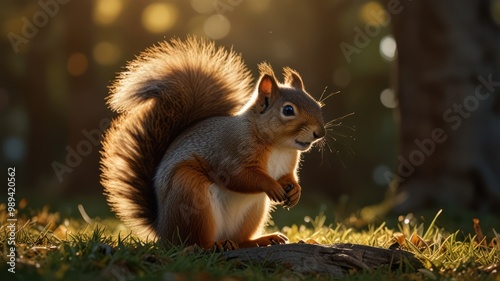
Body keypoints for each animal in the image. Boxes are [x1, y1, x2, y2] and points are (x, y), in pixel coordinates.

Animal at [100, 37, 326, 249]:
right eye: (288, 110)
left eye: (317, 104)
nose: (320, 133)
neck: (278, 146)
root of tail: (162, 229)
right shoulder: (230, 154)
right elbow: (240, 177)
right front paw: (272, 185)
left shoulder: (287, 165)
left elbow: (288, 177)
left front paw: (295, 190)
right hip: (190, 192)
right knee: (192, 241)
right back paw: (213, 246)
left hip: (254, 211)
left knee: (240, 240)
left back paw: (261, 240)